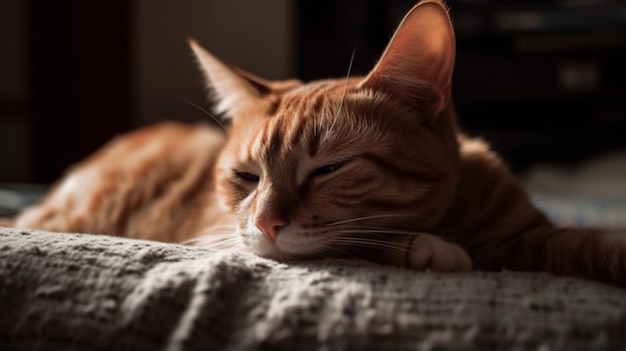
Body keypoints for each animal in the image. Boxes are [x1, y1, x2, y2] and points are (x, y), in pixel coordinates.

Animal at [4, 0, 624, 286]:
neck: (458, 217)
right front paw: (426, 248)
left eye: (331, 169)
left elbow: (589, 243)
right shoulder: (223, 238)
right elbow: (360, 242)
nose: (265, 223)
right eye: (246, 177)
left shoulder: (533, 237)